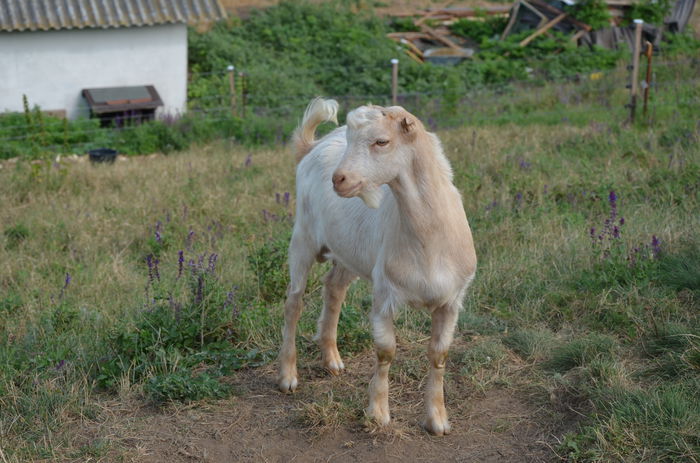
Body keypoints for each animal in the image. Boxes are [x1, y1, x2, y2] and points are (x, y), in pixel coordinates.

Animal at [278, 97, 476, 436]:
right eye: (351, 140)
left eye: (381, 141)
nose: (338, 179)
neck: (429, 238)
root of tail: (312, 147)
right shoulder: (385, 295)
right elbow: (385, 351)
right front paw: (378, 413)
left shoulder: (452, 300)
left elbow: (439, 355)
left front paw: (437, 420)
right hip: (302, 238)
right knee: (294, 302)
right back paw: (288, 376)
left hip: (348, 253)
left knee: (334, 288)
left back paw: (332, 359)